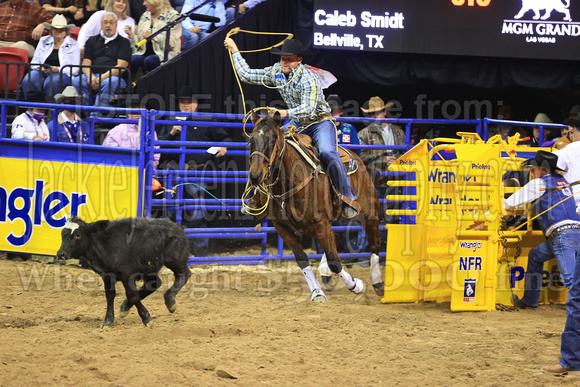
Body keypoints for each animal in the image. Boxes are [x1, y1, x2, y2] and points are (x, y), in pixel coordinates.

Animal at [246, 112, 386, 304]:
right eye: (251, 139)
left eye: (273, 140)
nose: (255, 176)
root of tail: (357, 158)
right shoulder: (282, 227)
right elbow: (302, 259)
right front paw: (317, 292)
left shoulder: (320, 222)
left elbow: (335, 260)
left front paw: (356, 285)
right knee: (336, 238)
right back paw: (326, 275)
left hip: (368, 213)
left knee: (374, 241)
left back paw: (377, 281)